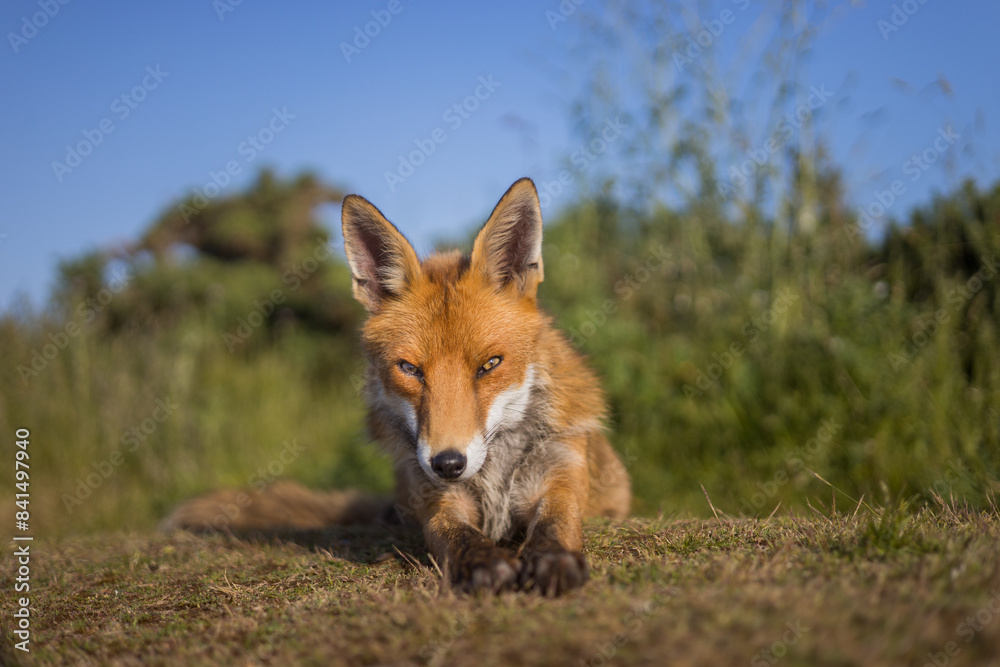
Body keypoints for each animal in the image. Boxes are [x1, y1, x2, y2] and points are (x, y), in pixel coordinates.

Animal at [163, 178, 631, 596]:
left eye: (490, 365)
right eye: (410, 369)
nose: (448, 464)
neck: (494, 475)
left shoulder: (561, 473)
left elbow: (557, 521)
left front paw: (554, 561)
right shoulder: (437, 500)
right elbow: (453, 534)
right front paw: (484, 564)